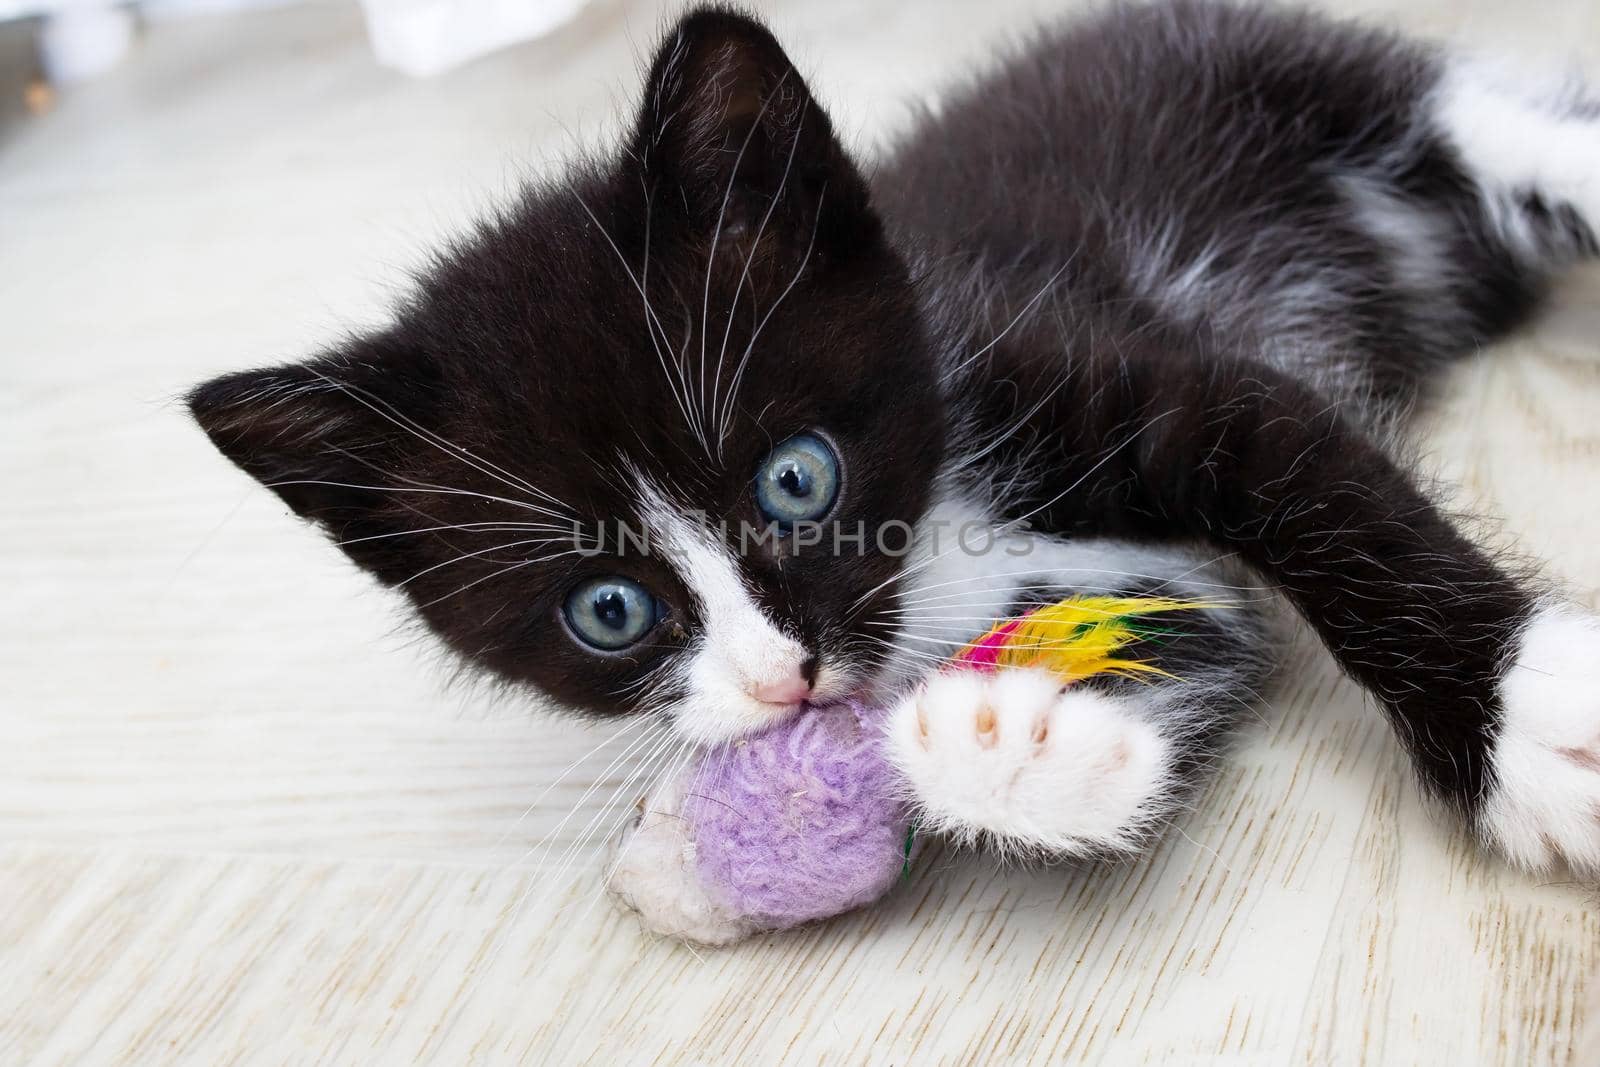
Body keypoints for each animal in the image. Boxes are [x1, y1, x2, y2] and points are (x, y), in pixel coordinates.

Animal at [187, 2, 1600, 921]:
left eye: (796, 478)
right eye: (610, 610)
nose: (786, 675)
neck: (936, 532)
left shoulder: (1092, 356)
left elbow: (1308, 479)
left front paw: (1519, 710)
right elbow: (1194, 615)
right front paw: (1021, 745)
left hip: (1293, 75)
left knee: (1491, 121)